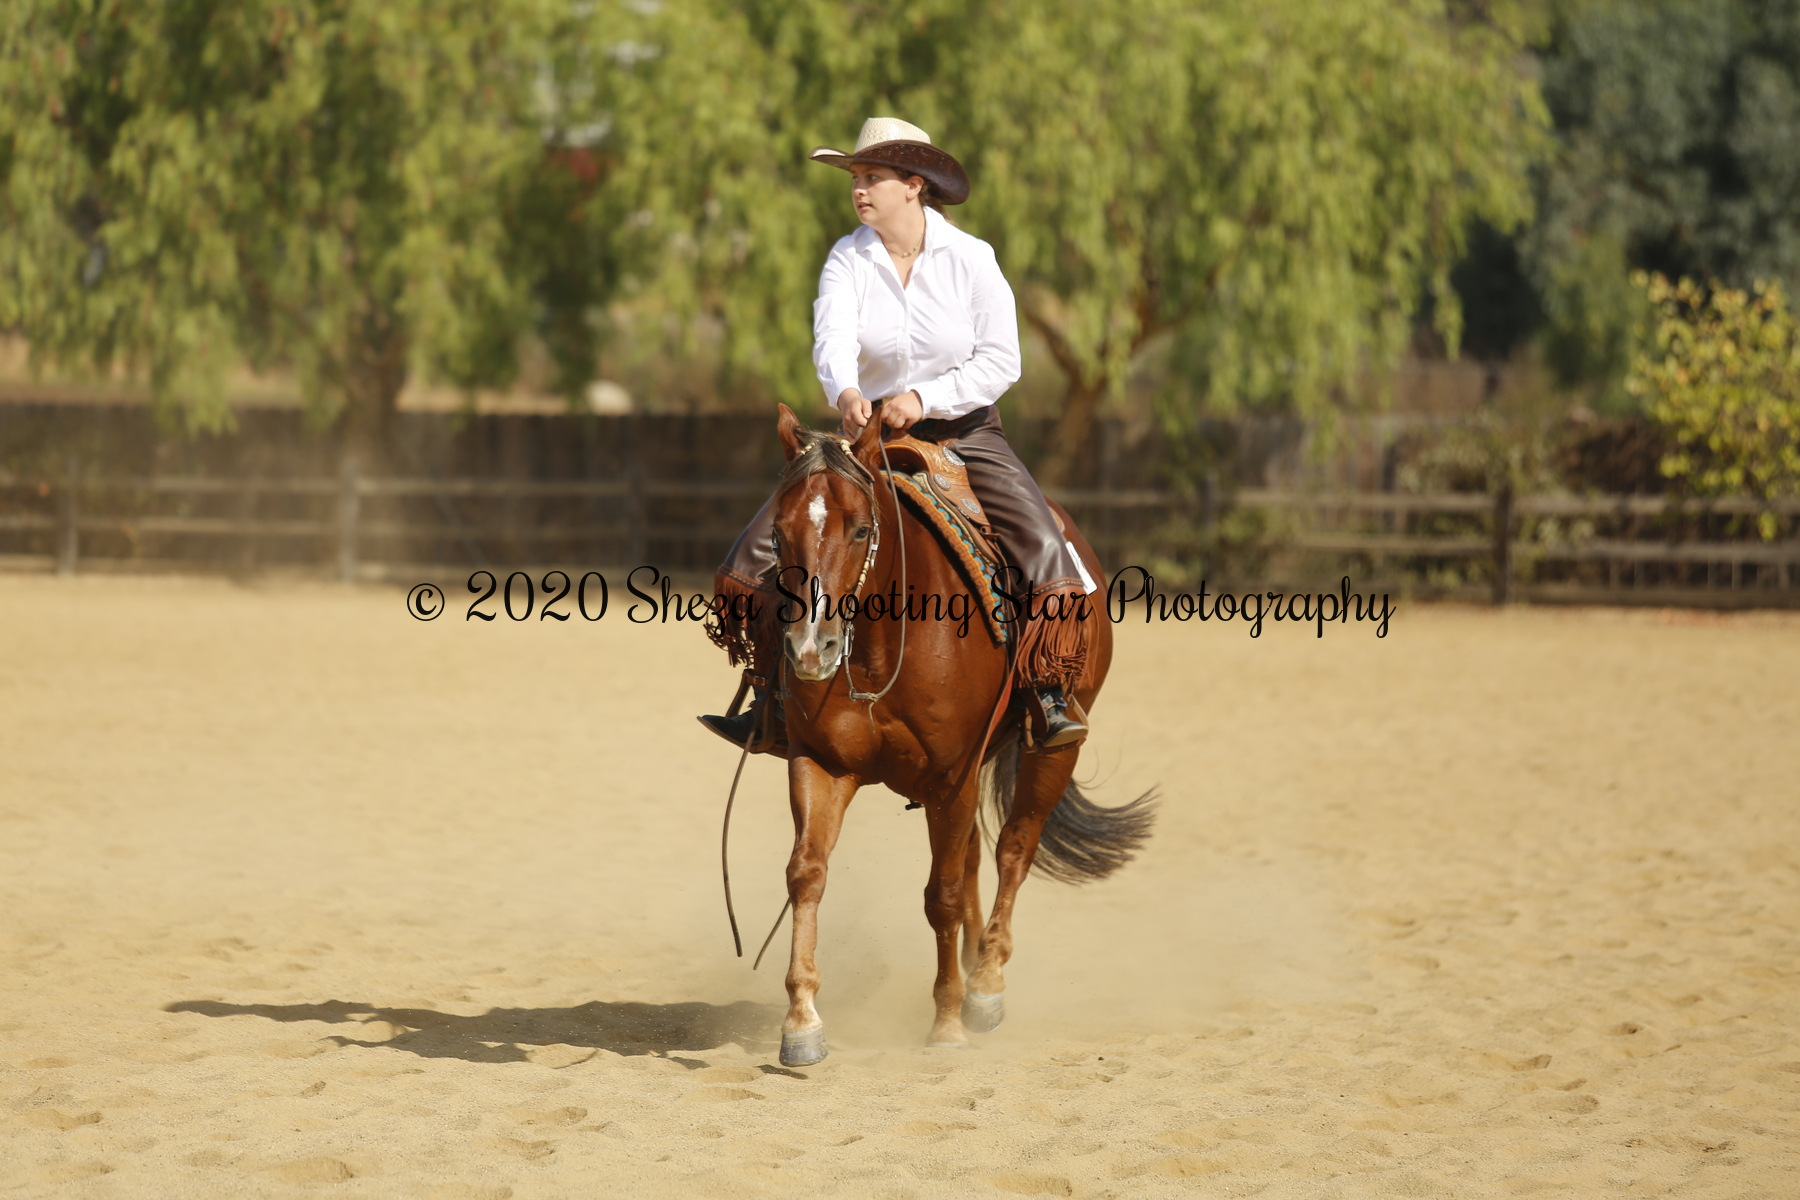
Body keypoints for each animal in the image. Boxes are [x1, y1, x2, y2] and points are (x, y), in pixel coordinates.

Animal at [743, 403, 1155, 1067]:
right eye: (777, 534)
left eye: (860, 529)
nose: (811, 649)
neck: (881, 652)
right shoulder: (820, 762)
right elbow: (807, 873)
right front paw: (801, 1021)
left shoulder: (951, 776)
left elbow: (941, 895)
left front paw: (947, 1022)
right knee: (975, 857)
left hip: (1054, 749)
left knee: (1014, 848)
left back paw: (985, 986)